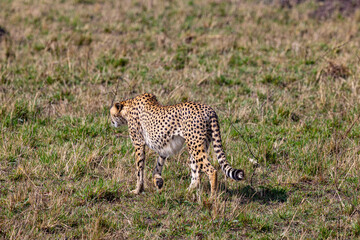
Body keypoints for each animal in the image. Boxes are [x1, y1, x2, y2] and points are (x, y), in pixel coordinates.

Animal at [109, 93, 245, 196]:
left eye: (111, 114)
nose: (110, 122)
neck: (128, 106)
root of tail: (208, 108)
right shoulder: (164, 147)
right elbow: (158, 165)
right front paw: (158, 180)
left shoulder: (138, 143)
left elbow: (139, 169)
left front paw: (137, 190)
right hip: (198, 145)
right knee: (196, 173)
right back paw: (188, 191)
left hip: (195, 145)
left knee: (211, 170)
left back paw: (212, 197)